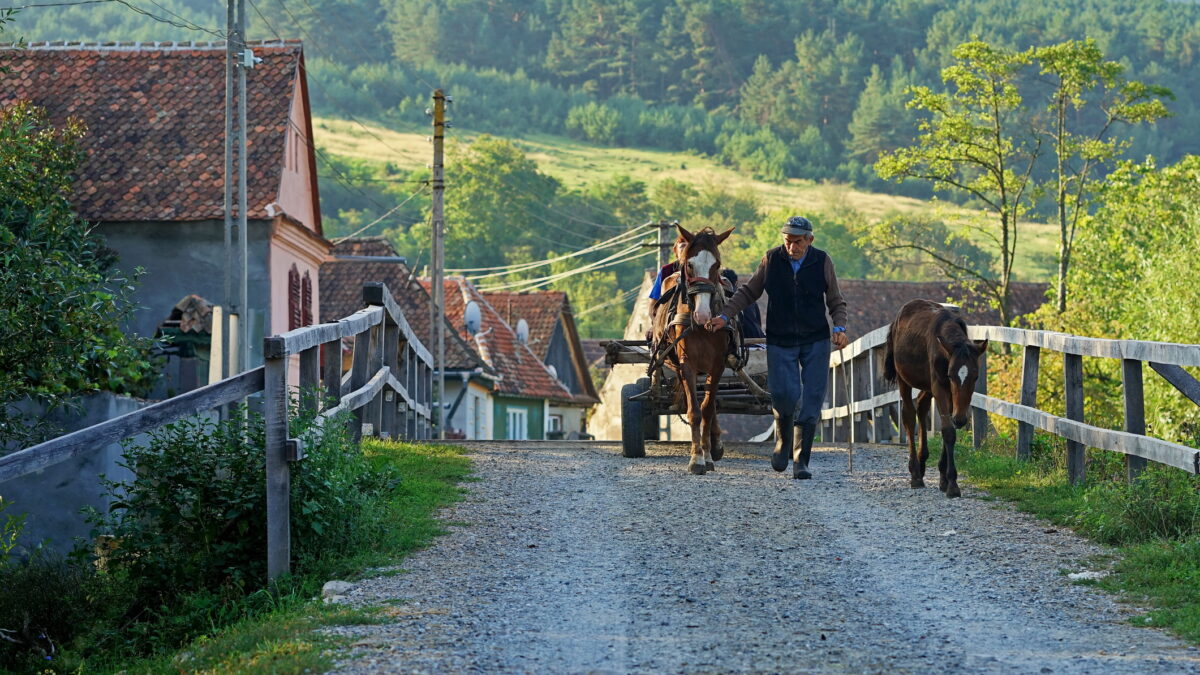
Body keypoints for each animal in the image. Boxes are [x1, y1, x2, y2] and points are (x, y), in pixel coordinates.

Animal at [652, 224, 734, 473]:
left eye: (717, 264)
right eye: (689, 264)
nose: (703, 315)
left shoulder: (717, 365)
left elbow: (707, 410)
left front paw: (706, 454)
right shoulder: (687, 363)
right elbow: (695, 412)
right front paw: (696, 458)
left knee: (711, 404)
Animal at [883, 297, 984, 494]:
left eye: (975, 376)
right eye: (951, 375)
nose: (961, 419)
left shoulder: (949, 394)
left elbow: (949, 427)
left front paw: (944, 479)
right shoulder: (940, 387)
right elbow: (948, 430)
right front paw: (952, 483)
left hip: (927, 386)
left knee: (922, 407)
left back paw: (922, 463)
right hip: (904, 379)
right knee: (909, 415)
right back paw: (915, 473)